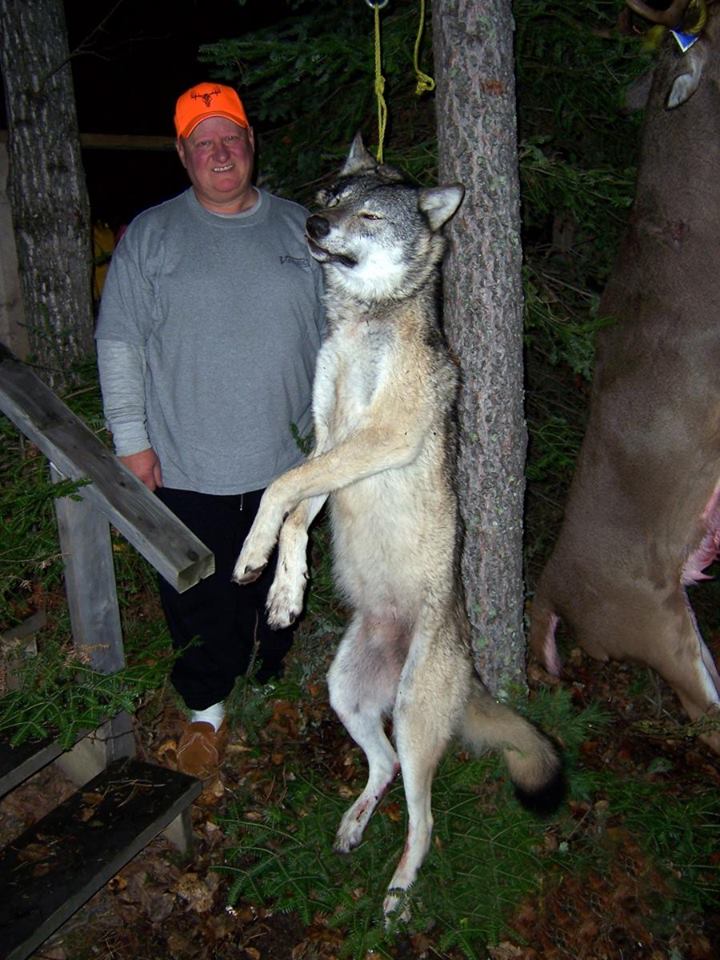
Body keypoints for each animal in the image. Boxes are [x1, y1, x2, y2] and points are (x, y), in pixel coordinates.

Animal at [232, 136, 562, 920]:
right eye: (331, 195)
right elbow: (296, 511)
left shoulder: (379, 437)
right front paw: (284, 590)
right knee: (379, 768)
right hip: (346, 694)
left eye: (371, 215)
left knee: (425, 817)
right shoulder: (329, 441)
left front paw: (253, 556)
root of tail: (471, 666)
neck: (363, 322)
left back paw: (400, 891)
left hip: (413, 718)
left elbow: (277, 491)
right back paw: (355, 824)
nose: (314, 224)